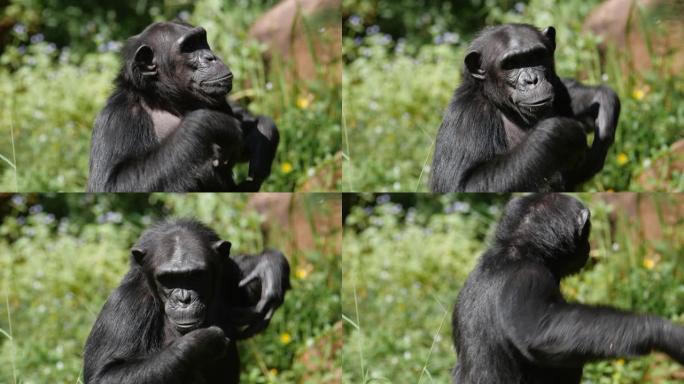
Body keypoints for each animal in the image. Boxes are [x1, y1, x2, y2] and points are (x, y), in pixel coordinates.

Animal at [84, 219, 290, 384]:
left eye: (194, 275)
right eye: (168, 279)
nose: (184, 299)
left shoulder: (227, 275)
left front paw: (268, 266)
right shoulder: (124, 305)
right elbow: (107, 374)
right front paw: (201, 343)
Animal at [88, 21, 278, 192]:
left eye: (201, 41)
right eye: (189, 47)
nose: (211, 57)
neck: (161, 100)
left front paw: (261, 140)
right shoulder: (116, 120)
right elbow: (112, 183)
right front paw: (209, 122)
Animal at [432, 24, 620, 192]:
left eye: (535, 56)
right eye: (511, 64)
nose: (531, 80)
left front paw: (600, 98)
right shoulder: (466, 117)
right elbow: (461, 184)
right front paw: (558, 133)